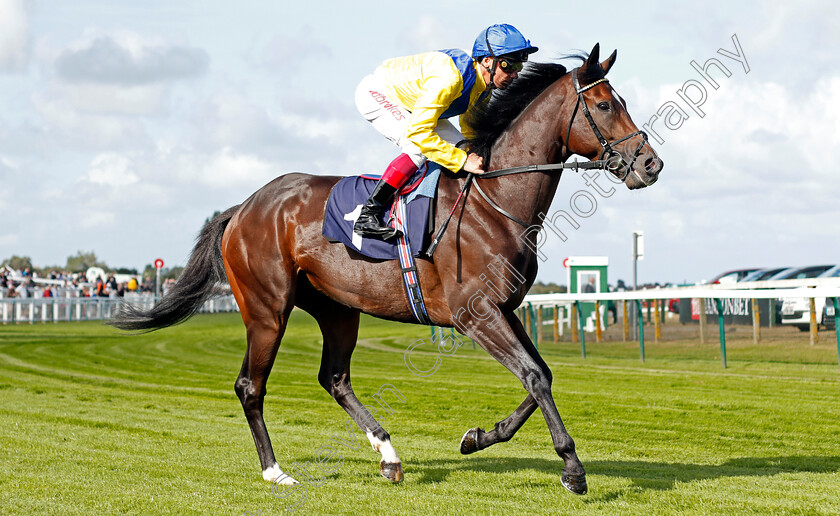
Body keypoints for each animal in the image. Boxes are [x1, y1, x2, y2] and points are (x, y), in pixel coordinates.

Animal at [111, 44, 664, 496]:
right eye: (605, 105)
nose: (651, 164)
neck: (494, 200)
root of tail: (244, 206)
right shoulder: (476, 315)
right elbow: (533, 377)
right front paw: (572, 469)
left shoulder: (503, 309)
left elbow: (539, 376)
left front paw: (477, 437)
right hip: (267, 309)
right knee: (251, 386)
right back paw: (276, 471)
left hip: (337, 307)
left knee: (334, 377)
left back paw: (389, 456)